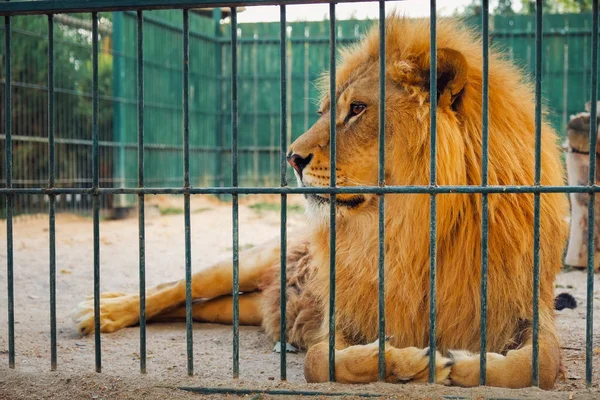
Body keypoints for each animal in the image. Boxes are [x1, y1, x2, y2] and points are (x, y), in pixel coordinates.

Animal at [76, 17, 572, 390]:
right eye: (326, 111)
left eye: (357, 109)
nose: (291, 158)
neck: (409, 227)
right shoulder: (344, 312)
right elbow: (319, 361)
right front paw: (409, 362)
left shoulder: (525, 302)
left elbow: (540, 365)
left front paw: (466, 364)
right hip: (250, 260)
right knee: (172, 287)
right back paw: (101, 313)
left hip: (242, 305)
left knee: (191, 307)